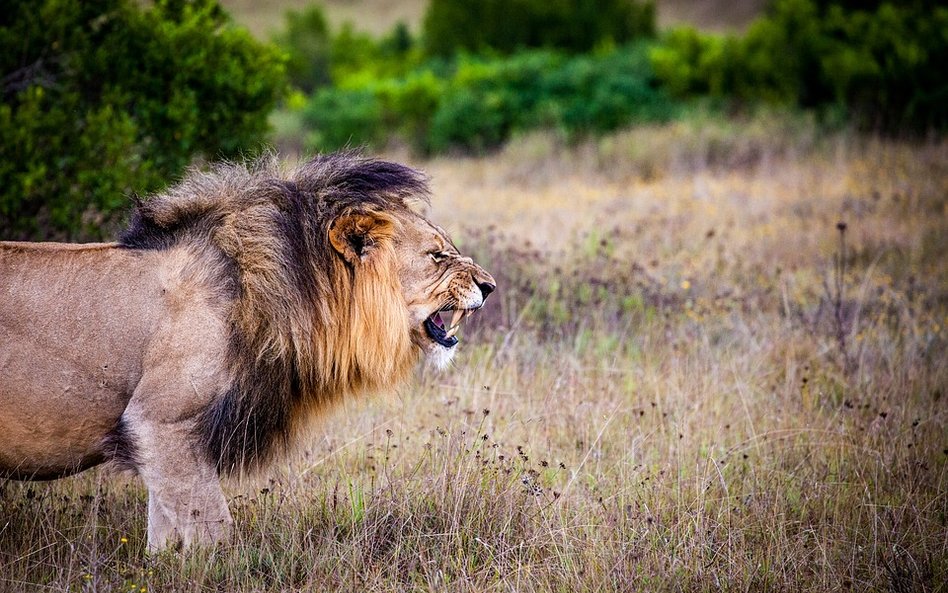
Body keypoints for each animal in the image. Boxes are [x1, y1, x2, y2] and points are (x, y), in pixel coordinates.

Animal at [0, 151, 500, 552]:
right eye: (437, 255)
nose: (490, 286)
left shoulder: (163, 441)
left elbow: (165, 535)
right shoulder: (159, 422)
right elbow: (212, 529)